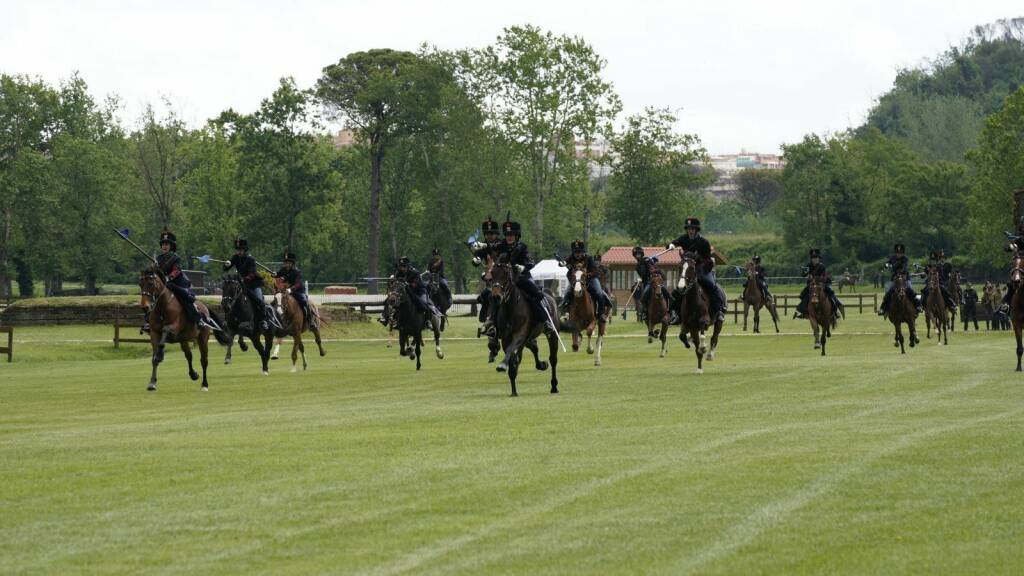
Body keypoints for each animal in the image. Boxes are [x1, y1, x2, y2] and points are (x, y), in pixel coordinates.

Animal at [489, 254, 561, 393]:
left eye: (505, 274)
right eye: (492, 274)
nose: (496, 297)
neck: (511, 306)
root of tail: (550, 296)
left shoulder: (519, 335)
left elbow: (511, 352)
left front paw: (502, 365)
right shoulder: (506, 338)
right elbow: (511, 355)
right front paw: (513, 390)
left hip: (552, 335)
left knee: (553, 359)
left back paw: (554, 385)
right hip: (528, 338)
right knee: (532, 349)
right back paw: (540, 365)